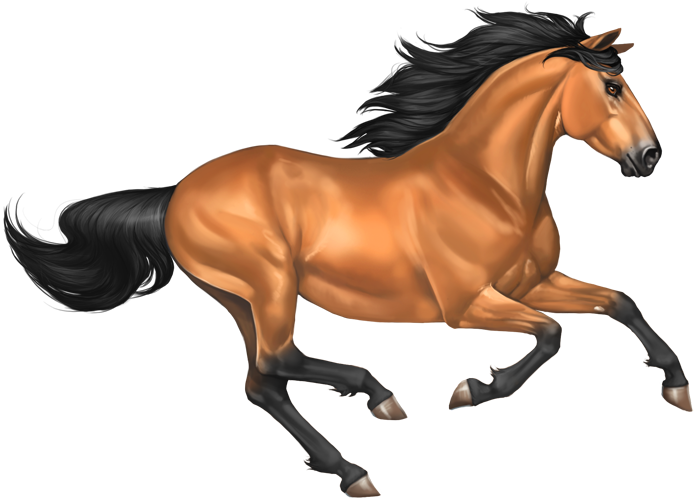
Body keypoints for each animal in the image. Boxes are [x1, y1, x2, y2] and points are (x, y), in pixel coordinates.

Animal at [4, 7, 690, 497]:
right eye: (612, 86)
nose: (651, 157)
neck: (487, 184)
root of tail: (176, 194)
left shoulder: (532, 282)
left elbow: (620, 302)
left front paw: (677, 386)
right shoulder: (469, 303)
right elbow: (551, 335)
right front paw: (472, 390)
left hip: (238, 299)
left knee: (263, 382)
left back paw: (350, 467)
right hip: (269, 284)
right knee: (280, 359)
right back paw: (378, 403)